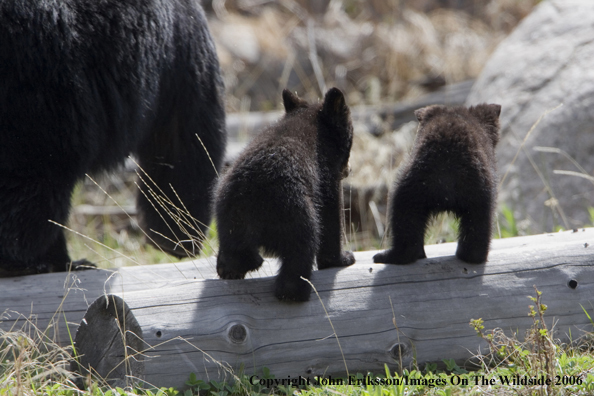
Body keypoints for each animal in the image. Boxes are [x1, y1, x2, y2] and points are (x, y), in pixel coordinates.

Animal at [0, 0, 225, 276]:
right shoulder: (180, 45)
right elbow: (186, 142)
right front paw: (177, 237)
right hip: (45, 82)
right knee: (40, 172)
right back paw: (26, 260)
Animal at [217, 88, 356, 302]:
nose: (349, 169)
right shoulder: (326, 175)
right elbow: (331, 213)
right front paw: (342, 258)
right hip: (294, 210)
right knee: (301, 246)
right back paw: (294, 291)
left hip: (227, 214)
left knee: (235, 249)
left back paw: (231, 268)